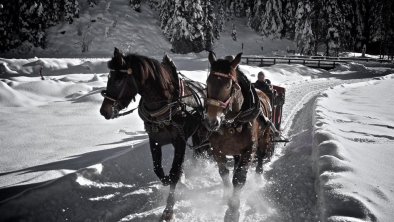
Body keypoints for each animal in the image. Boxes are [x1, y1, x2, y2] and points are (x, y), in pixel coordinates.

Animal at [99, 47, 206, 220]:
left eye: (118, 80)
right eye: (109, 77)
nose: (104, 111)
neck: (166, 106)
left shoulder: (180, 141)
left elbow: (174, 172)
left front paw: (169, 209)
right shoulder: (154, 140)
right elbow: (159, 170)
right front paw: (170, 180)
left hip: (203, 132)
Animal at [205, 52, 272, 222]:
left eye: (228, 86)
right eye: (208, 82)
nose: (212, 121)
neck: (231, 123)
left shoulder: (249, 150)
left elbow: (239, 178)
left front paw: (233, 210)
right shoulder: (217, 150)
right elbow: (224, 174)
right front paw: (227, 197)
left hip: (264, 138)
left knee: (261, 156)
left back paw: (258, 177)